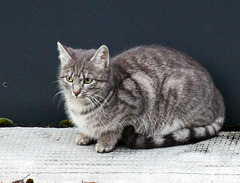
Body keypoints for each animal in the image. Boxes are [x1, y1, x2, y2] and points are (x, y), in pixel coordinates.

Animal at [57, 42, 224, 152]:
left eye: (87, 80)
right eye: (69, 79)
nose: (76, 92)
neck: (80, 108)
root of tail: (218, 96)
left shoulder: (137, 101)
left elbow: (115, 128)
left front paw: (105, 141)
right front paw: (85, 135)